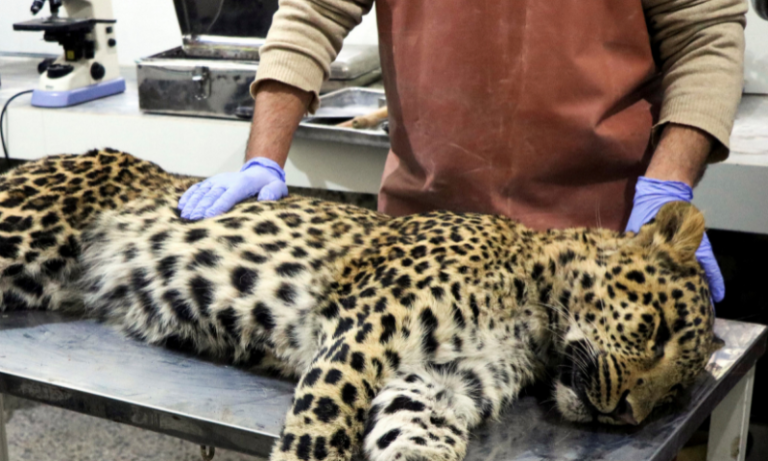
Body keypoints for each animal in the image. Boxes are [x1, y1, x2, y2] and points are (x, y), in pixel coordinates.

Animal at [0, 148, 723, 461]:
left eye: (671, 398)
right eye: (655, 331)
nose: (626, 416)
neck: (535, 322)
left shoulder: (436, 381)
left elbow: (417, 438)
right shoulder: (363, 334)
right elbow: (322, 431)